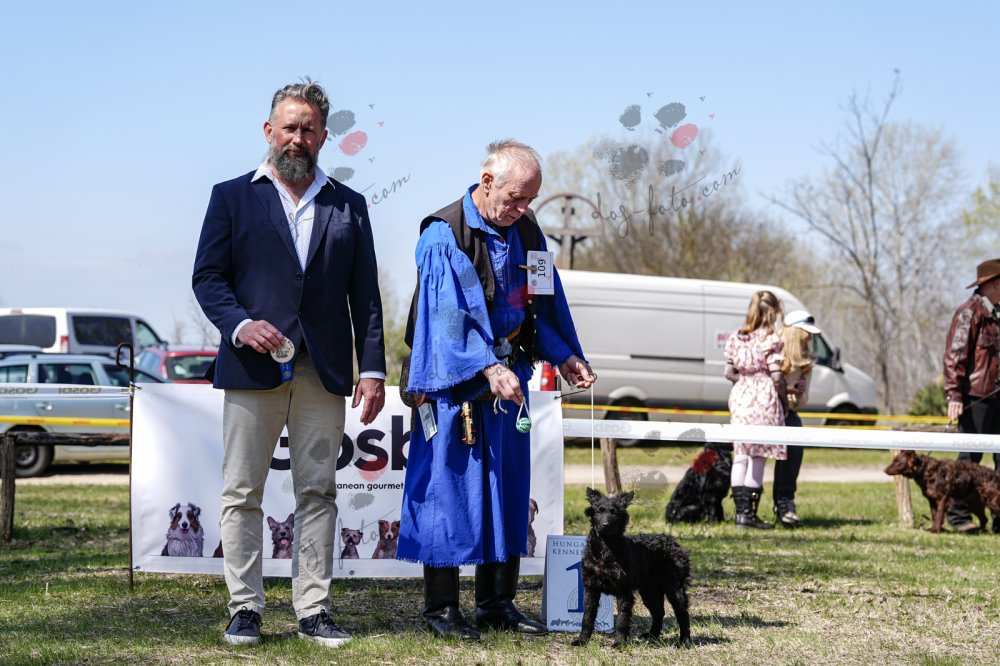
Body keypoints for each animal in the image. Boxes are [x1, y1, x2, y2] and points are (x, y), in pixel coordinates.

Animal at [572, 488, 692, 648]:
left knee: (682, 613)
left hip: (674, 588)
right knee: (659, 612)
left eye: (614, 513)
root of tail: (673, 541)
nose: (605, 525)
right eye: (598, 511)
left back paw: (685, 640)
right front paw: (582, 640)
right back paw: (652, 636)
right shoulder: (591, 588)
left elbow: (622, 619)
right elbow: (587, 617)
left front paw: (619, 642)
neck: (606, 549)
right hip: (649, 590)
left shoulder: (624, 590)